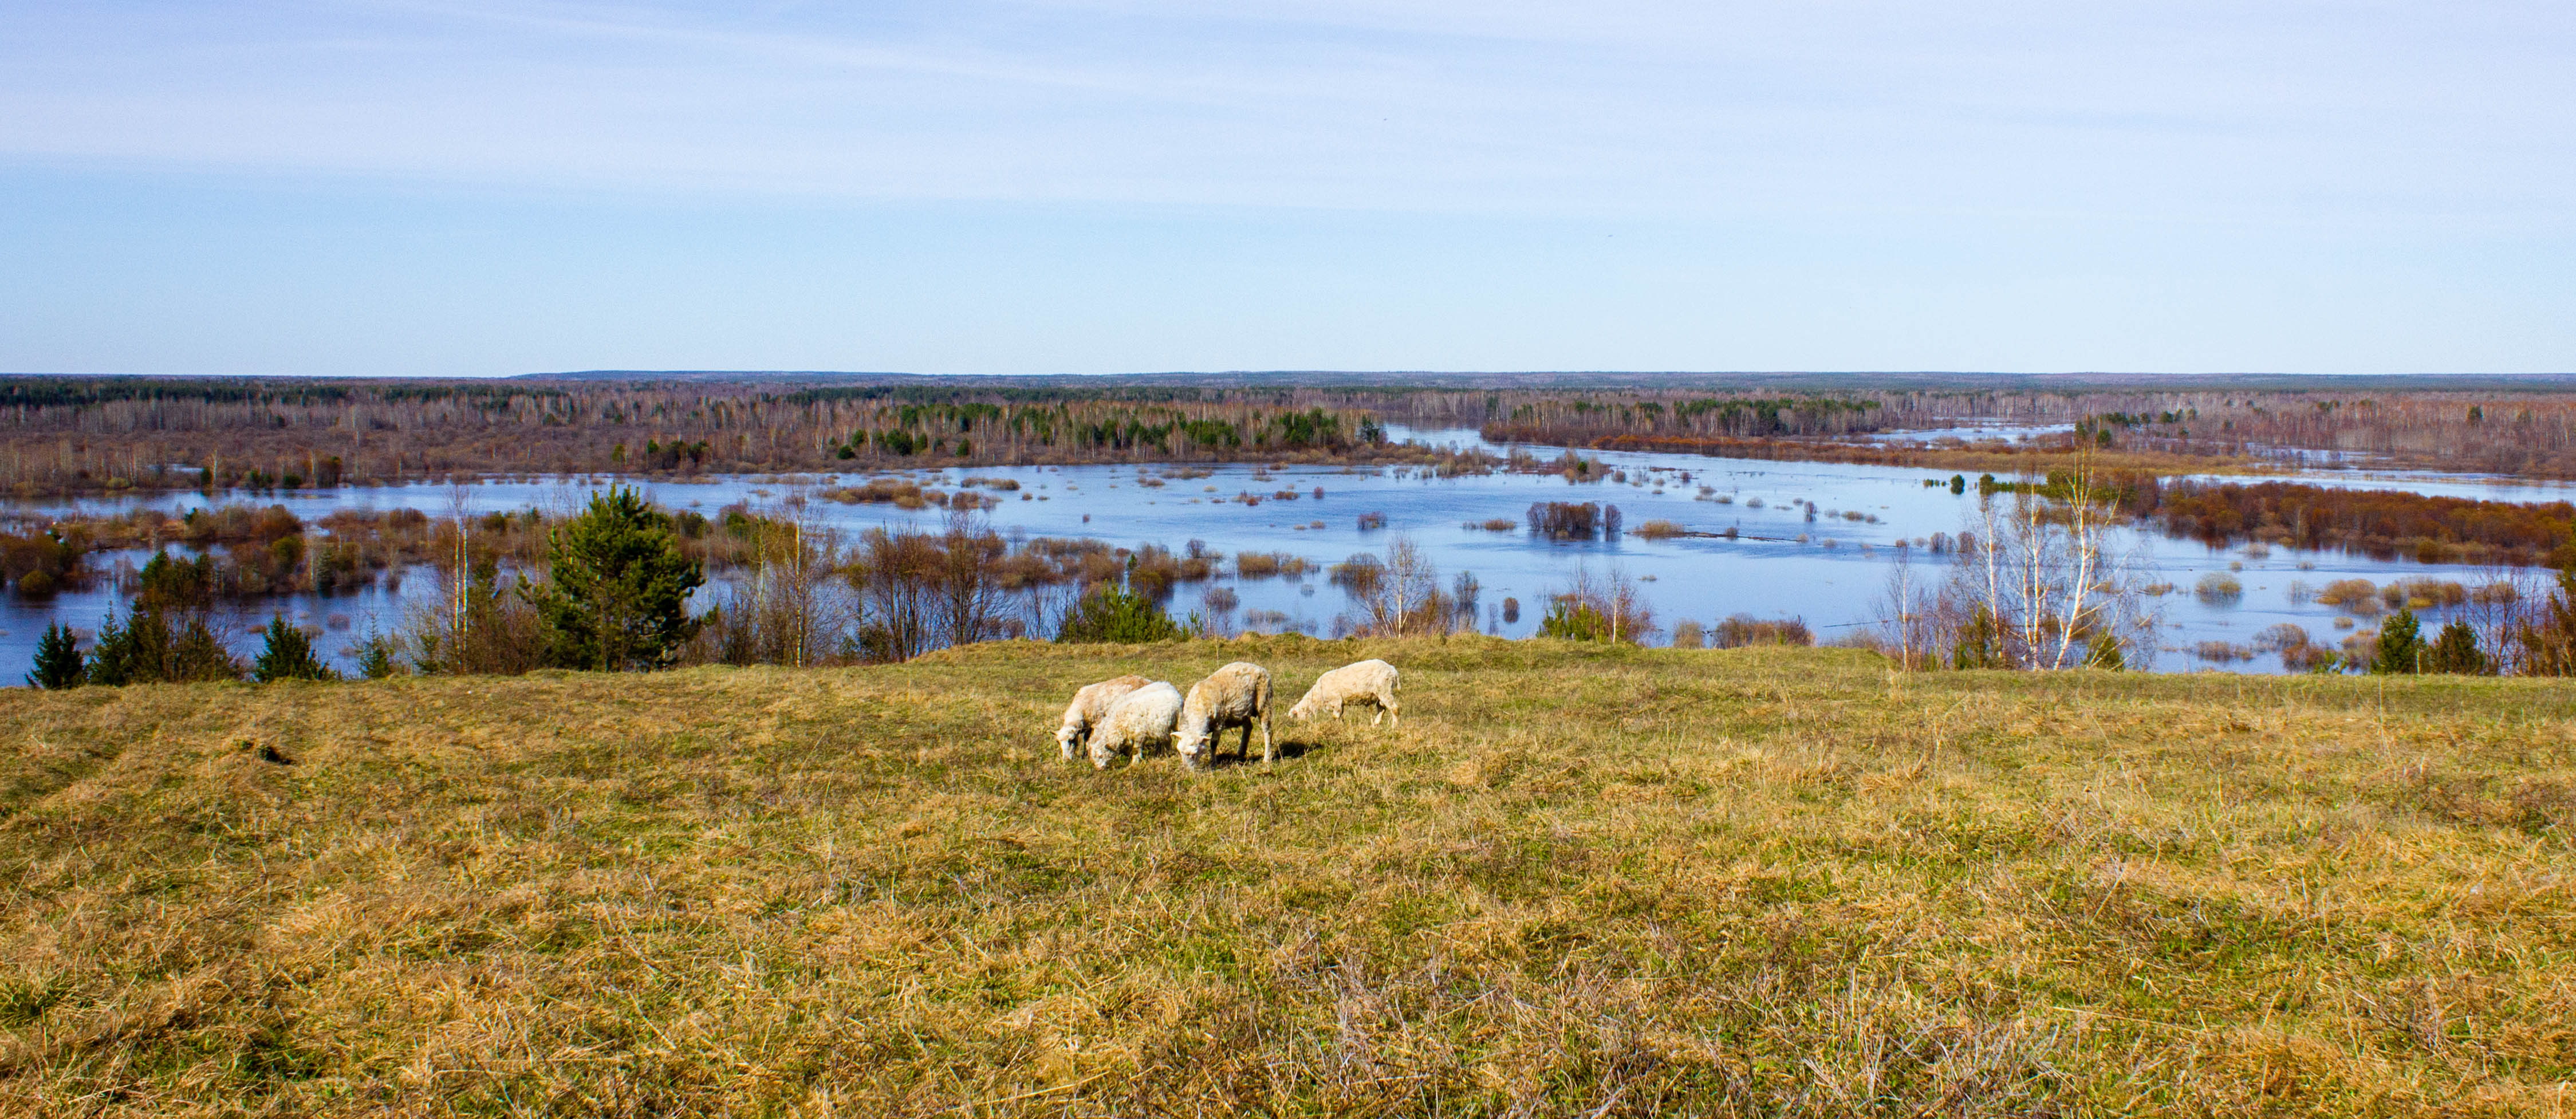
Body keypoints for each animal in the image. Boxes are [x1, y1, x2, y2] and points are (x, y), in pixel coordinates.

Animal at [1061, 675, 1154, 758]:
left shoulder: (1098, 723)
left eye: (1071, 740)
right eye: (1059, 743)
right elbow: (1086, 739)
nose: (1066, 760)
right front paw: (1085, 754)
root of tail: (1148, 681)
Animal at [1082, 675, 1180, 773]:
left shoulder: (1139, 734)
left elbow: (1136, 750)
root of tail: (1169, 685)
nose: (1099, 769)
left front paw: (1135, 763)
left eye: (1101, 756)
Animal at [1180, 665, 1278, 768]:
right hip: (1244, 711)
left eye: (1194, 754)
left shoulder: (1219, 723)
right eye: (1181, 752)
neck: (1197, 708)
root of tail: (1260, 668)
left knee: (1268, 732)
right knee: (1248, 727)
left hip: (1265, 702)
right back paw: (1241, 753)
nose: (1186, 770)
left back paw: (1267, 759)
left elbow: (1213, 744)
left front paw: (1213, 763)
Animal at [1288, 655, 1411, 727]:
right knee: (1382, 709)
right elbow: (1341, 715)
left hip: (1384, 690)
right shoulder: (1340, 703)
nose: (1304, 727)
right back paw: (1375, 725)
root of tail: (1392, 670)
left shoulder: (1336, 701)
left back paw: (1394, 727)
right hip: (1379, 695)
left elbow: (1336, 716)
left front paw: (1338, 727)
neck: (1318, 695)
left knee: (1394, 709)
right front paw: (1342, 726)